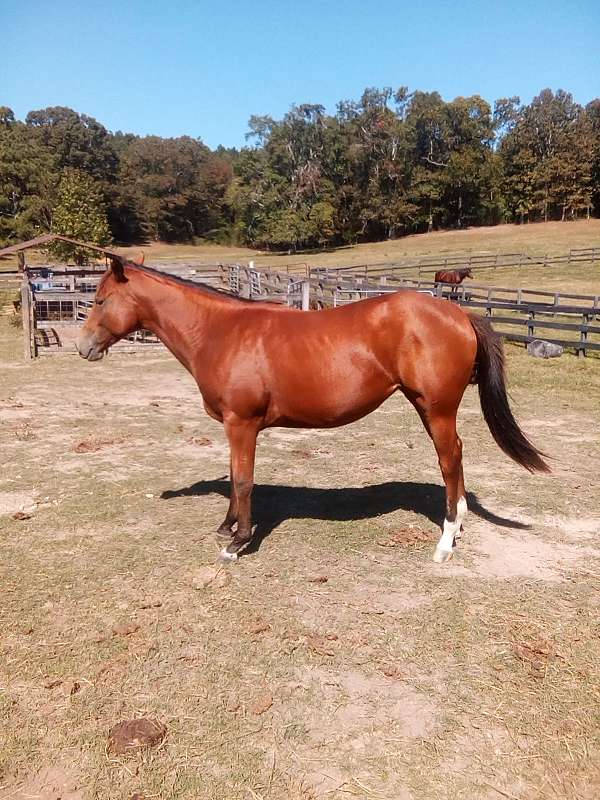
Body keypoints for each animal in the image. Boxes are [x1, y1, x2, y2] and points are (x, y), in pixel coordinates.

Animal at [76, 256, 548, 564]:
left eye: (100, 300)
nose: (83, 347)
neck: (221, 332)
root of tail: (460, 313)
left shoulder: (242, 424)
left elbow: (243, 480)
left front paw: (237, 542)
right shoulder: (233, 426)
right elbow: (233, 476)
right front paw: (227, 527)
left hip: (436, 409)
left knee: (449, 460)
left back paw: (446, 542)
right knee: (458, 455)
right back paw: (460, 522)